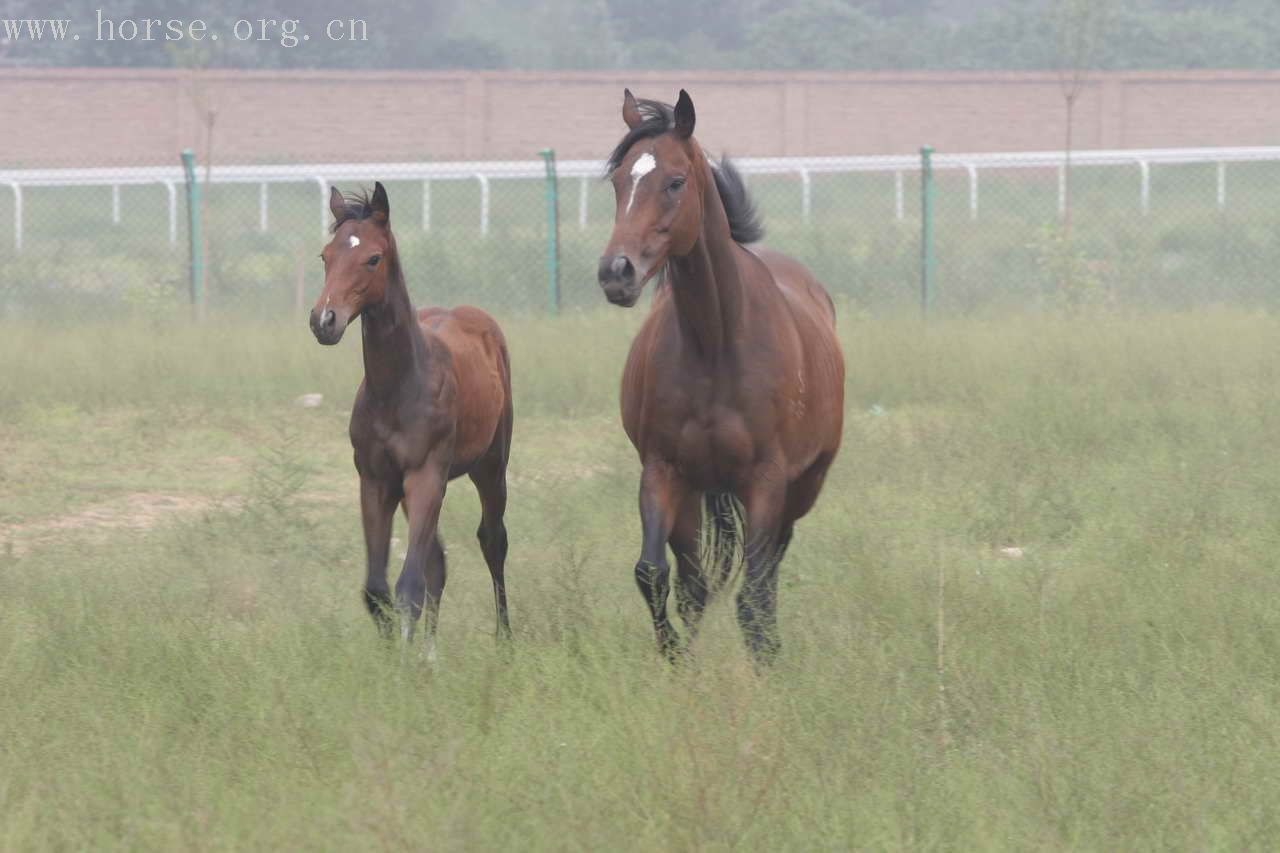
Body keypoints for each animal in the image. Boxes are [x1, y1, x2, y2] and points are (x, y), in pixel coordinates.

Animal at [307, 183, 512, 653]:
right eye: (326, 255)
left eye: (372, 258)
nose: (324, 320)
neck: (398, 391)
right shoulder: (376, 481)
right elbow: (376, 588)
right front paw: (394, 656)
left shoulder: (426, 475)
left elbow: (409, 585)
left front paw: (402, 660)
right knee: (437, 560)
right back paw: (430, 653)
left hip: (491, 465)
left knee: (493, 541)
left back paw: (505, 640)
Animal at [596, 92, 844, 666]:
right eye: (618, 180)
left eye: (674, 182)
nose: (616, 273)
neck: (715, 343)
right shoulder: (663, 471)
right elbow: (655, 575)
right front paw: (676, 661)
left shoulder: (767, 481)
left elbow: (752, 594)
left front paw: (765, 664)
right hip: (695, 496)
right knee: (694, 582)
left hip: (801, 489)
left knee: (767, 574)